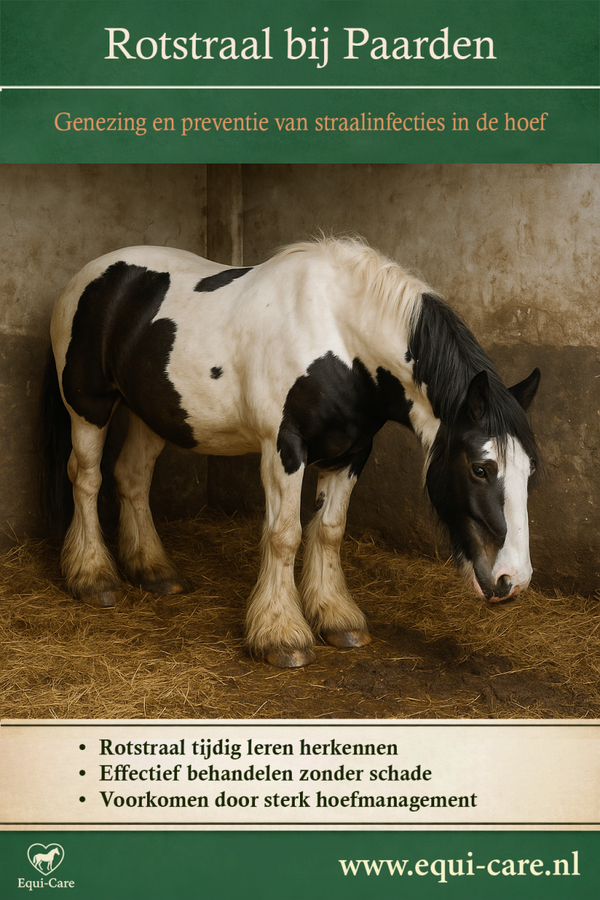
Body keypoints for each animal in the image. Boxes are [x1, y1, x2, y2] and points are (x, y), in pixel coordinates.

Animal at [42, 237, 540, 668]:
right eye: (480, 468)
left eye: (530, 471)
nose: (512, 580)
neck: (340, 338)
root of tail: (90, 275)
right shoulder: (284, 447)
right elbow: (285, 535)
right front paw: (281, 635)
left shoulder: (351, 453)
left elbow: (329, 531)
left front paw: (337, 618)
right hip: (87, 408)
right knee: (87, 478)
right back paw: (93, 577)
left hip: (153, 415)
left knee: (132, 478)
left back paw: (154, 571)